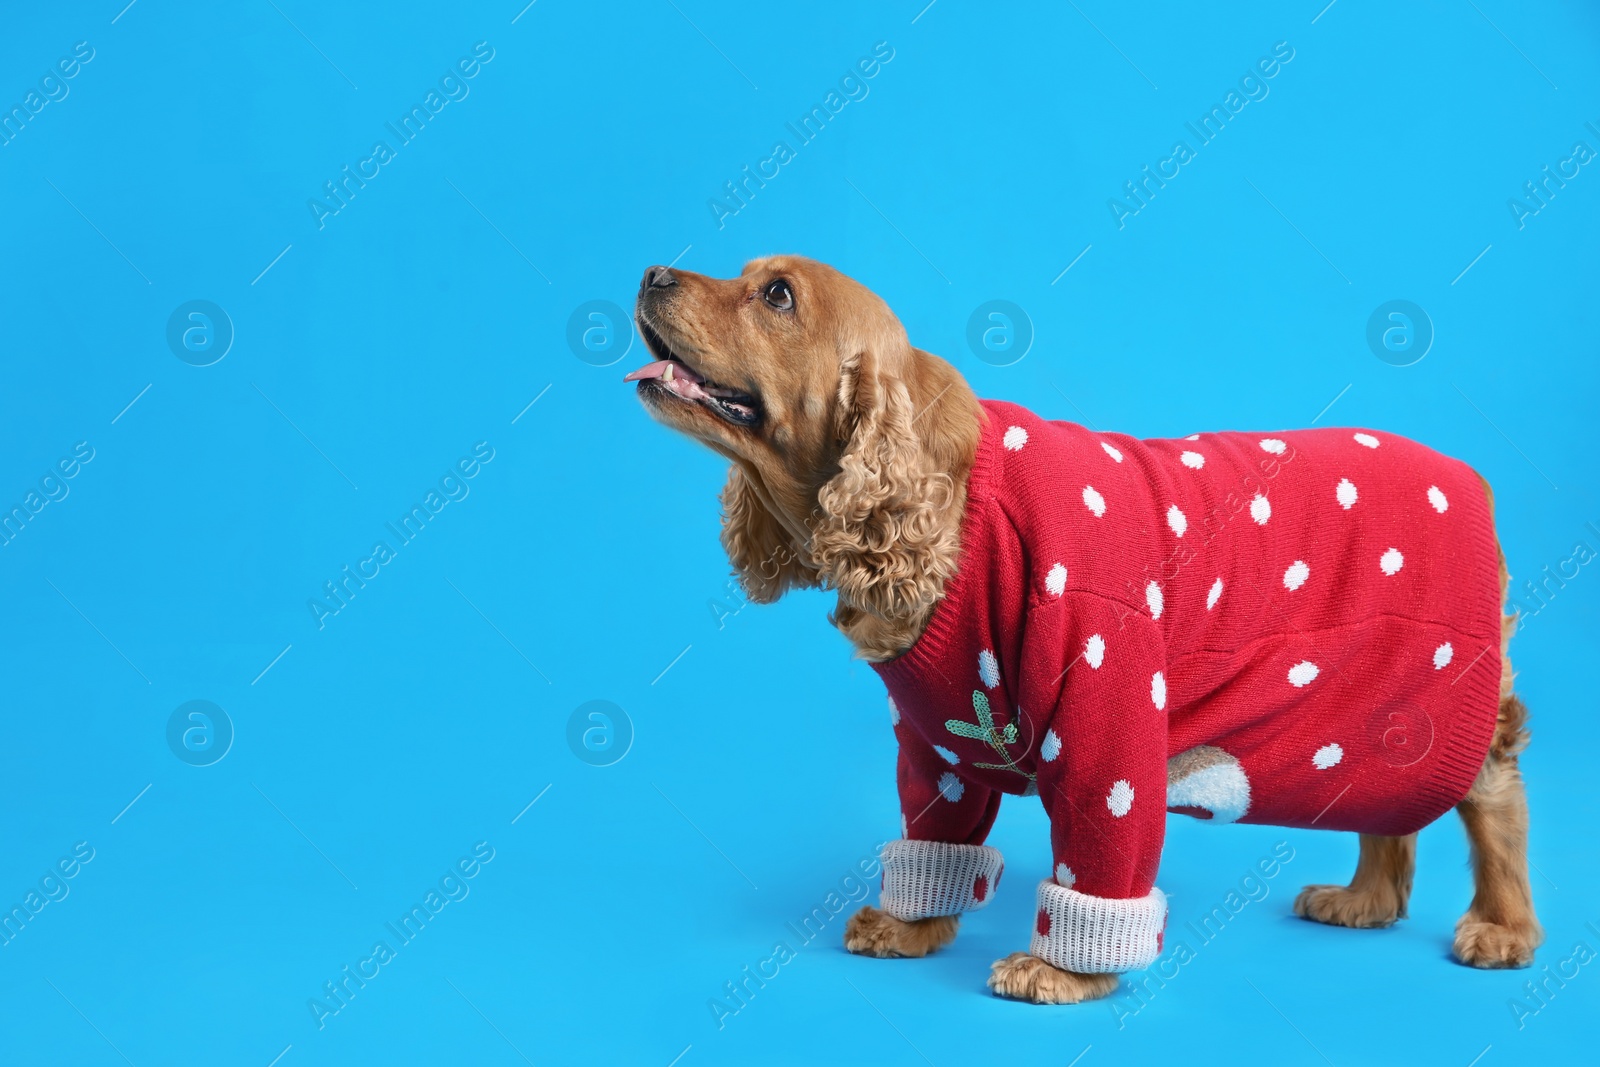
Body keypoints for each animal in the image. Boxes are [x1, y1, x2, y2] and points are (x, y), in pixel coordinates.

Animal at [620, 254, 1536, 1004]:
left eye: (777, 294)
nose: (651, 273)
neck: (950, 507)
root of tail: (1476, 482)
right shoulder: (937, 741)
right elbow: (935, 833)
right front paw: (911, 924)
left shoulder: (1109, 716)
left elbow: (1099, 857)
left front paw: (1063, 969)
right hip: (1370, 728)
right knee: (1397, 810)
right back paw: (1365, 901)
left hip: (1441, 697)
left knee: (1493, 795)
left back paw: (1503, 925)